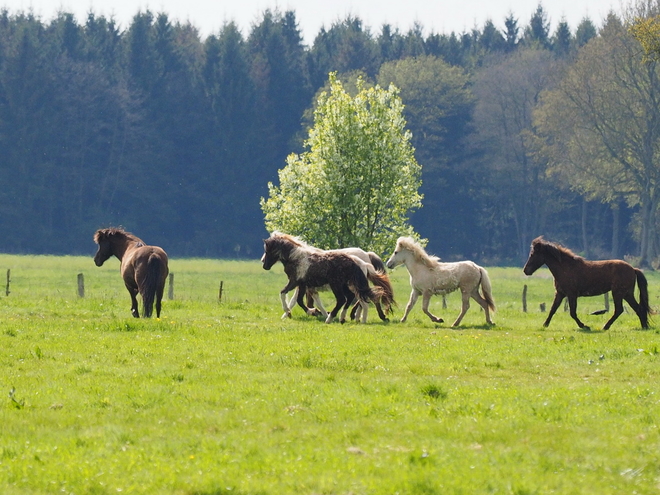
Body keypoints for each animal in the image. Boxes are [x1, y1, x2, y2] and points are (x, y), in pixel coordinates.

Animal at [524, 236, 652, 330]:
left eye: (532, 255)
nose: (526, 270)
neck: (565, 268)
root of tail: (633, 269)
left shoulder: (571, 294)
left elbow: (572, 313)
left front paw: (584, 326)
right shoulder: (560, 293)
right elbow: (552, 309)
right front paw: (545, 324)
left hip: (618, 293)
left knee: (619, 310)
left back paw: (606, 326)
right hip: (627, 294)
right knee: (638, 308)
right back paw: (644, 326)